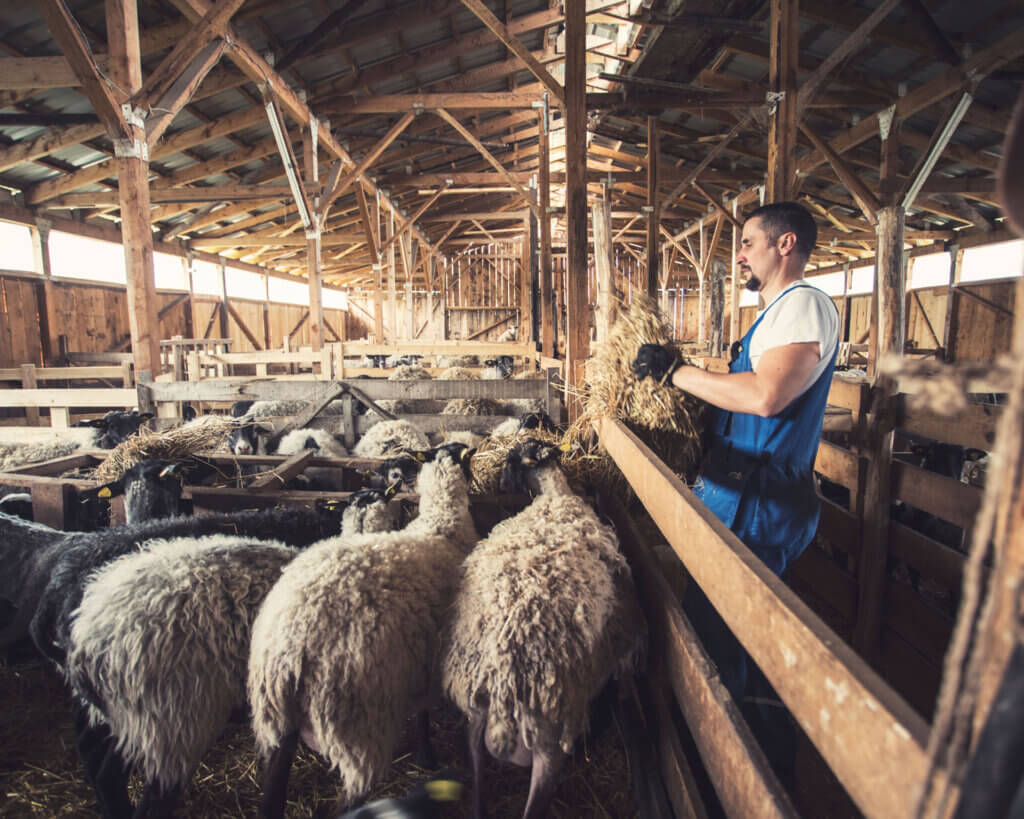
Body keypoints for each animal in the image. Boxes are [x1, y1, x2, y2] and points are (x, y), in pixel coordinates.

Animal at [249, 444, 477, 814]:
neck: (442, 525)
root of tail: (293, 645)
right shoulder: (428, 660)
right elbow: (423, 716)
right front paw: (427, 756)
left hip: (276, 719)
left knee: (272, 792)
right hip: (358, 726)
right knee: (347, 801)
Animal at [442, 442, 647, 818]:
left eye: (510, 459)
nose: (500, 483)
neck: (554, 495)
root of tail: (504, 685)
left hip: (480, 726)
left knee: (478, 791)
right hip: (550, 746)